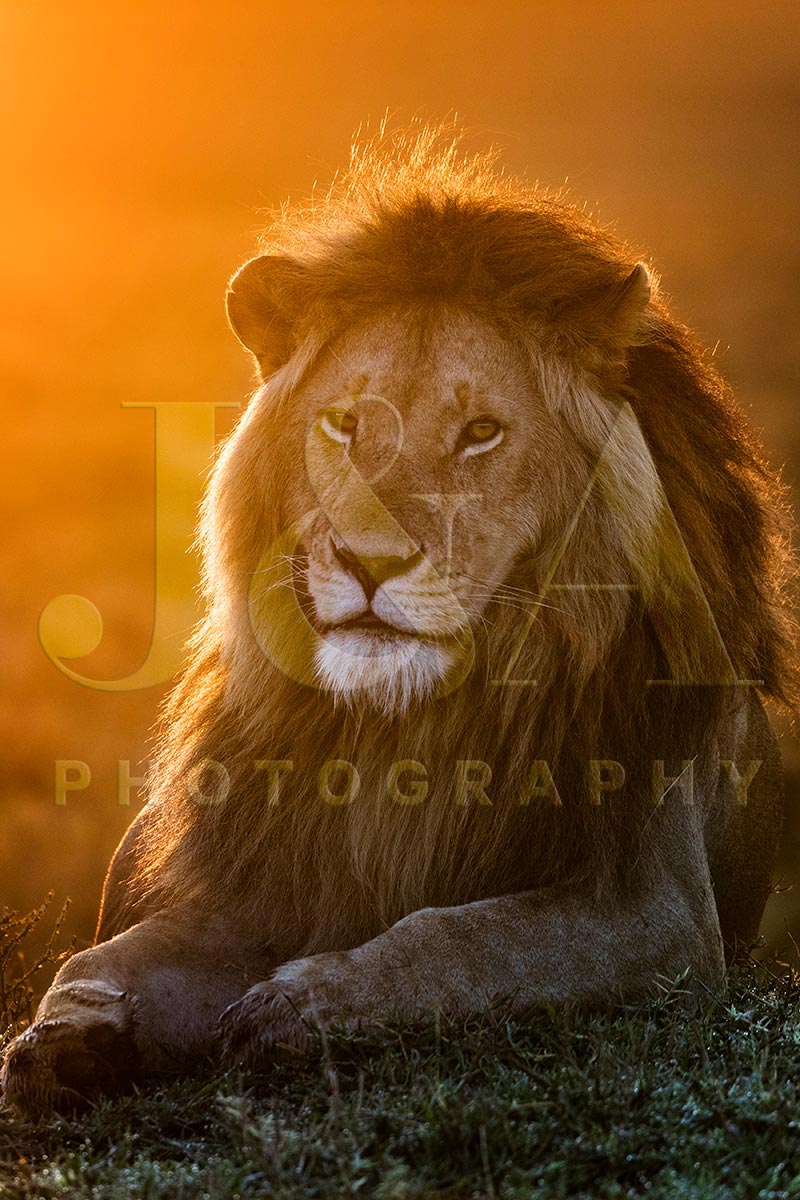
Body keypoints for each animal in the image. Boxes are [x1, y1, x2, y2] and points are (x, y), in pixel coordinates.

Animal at [2, 126, 796, 1113]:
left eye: (481, 433)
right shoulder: (259, 876)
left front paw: (306, 1004)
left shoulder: (661, 911)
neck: (406, 725)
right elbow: (108, 957)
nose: (368, 562)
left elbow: (462, 937)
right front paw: (69, 1035)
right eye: (343, 423)